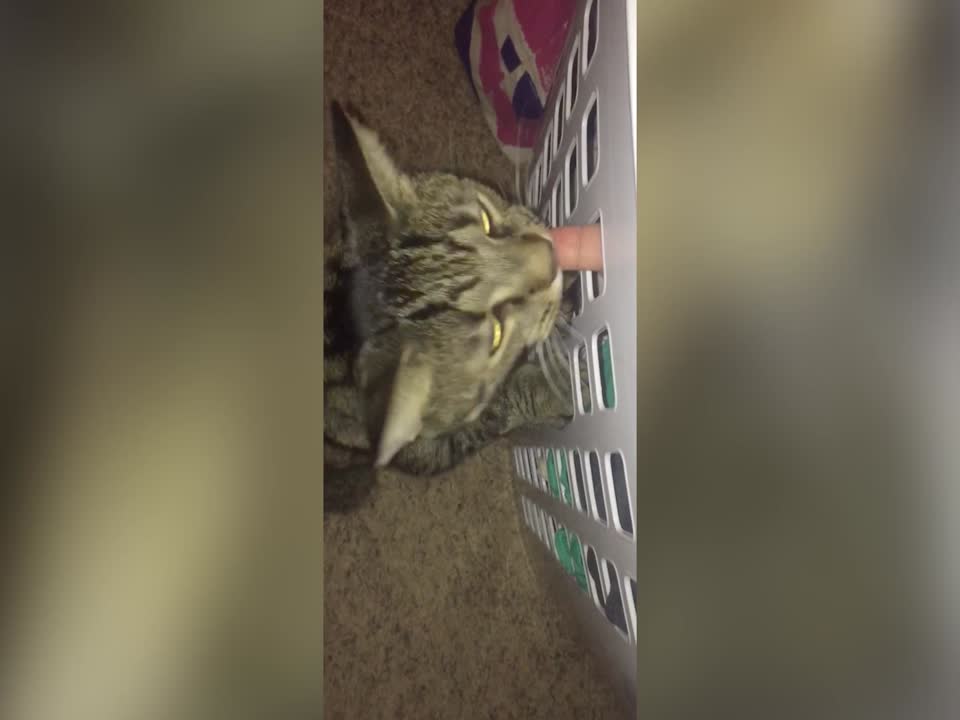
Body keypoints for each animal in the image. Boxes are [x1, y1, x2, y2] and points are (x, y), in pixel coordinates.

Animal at [322, 104, 576, 516]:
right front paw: (561, 384)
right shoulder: (429, 451)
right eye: (496, 336)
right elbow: (496, 409)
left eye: (486, 221)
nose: (552, 258)